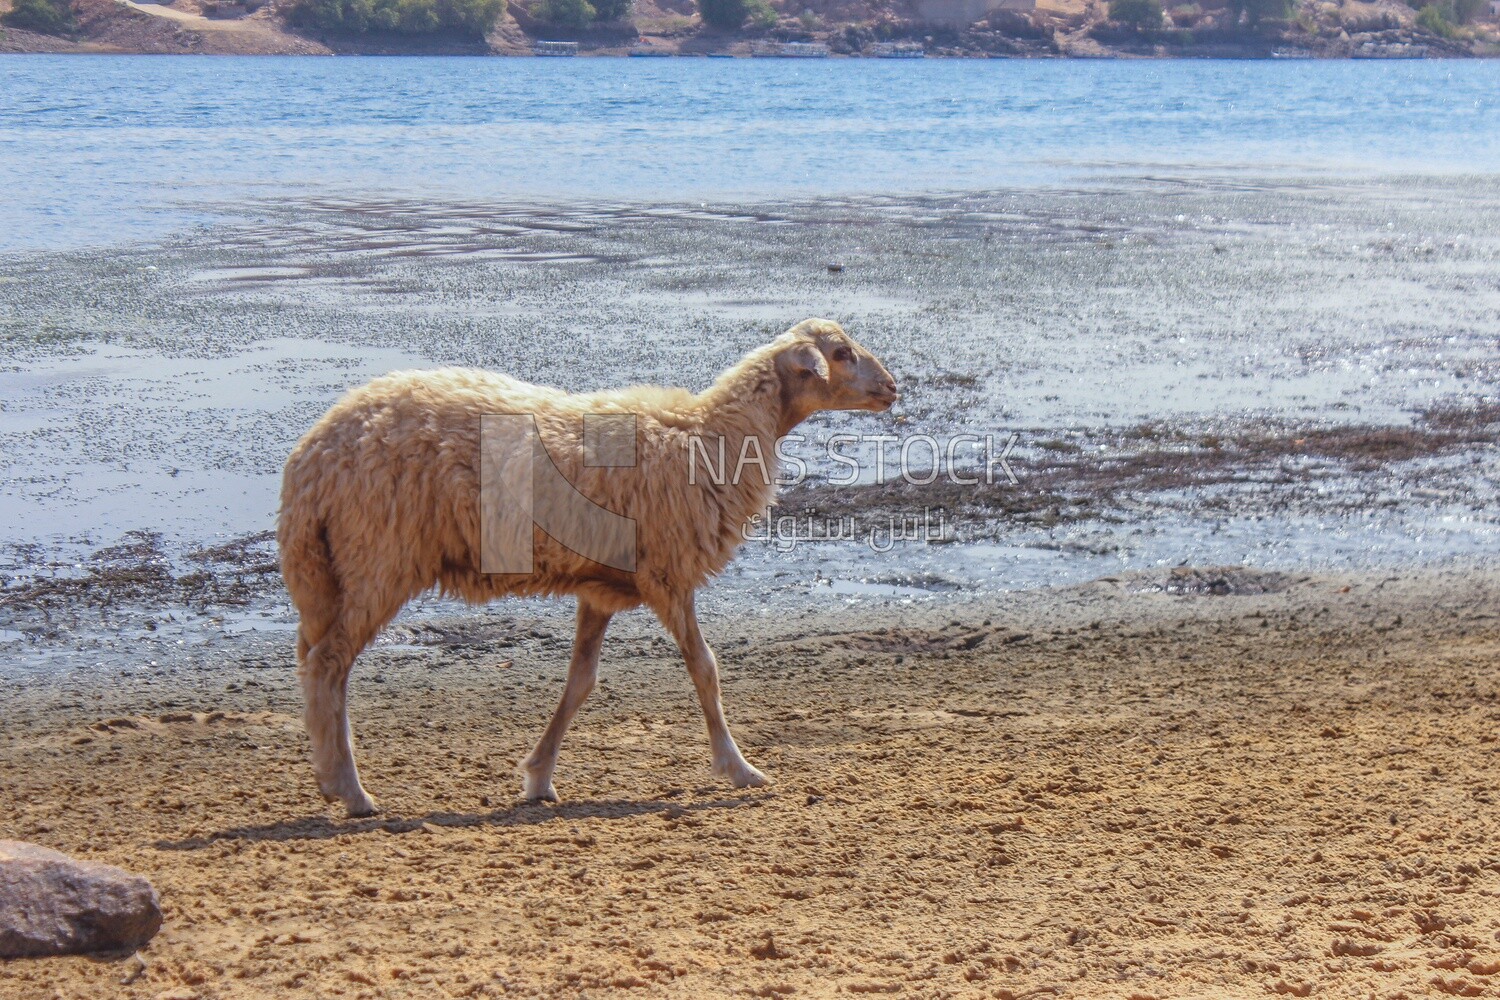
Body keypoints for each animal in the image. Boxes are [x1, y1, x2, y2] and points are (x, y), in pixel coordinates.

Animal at [277, 316, 894, 815]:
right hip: (376, 556)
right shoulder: (667, 573)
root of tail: (311, 458)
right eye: (841, 353)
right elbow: (706, 668)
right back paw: (351, 791)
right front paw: (739, 768)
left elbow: (580, 683)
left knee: (313, 662)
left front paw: (538, 776)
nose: (893, 388)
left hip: (333, 569)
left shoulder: (601, 589)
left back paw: (331, 776)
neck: (709, 435)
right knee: (329, 666)